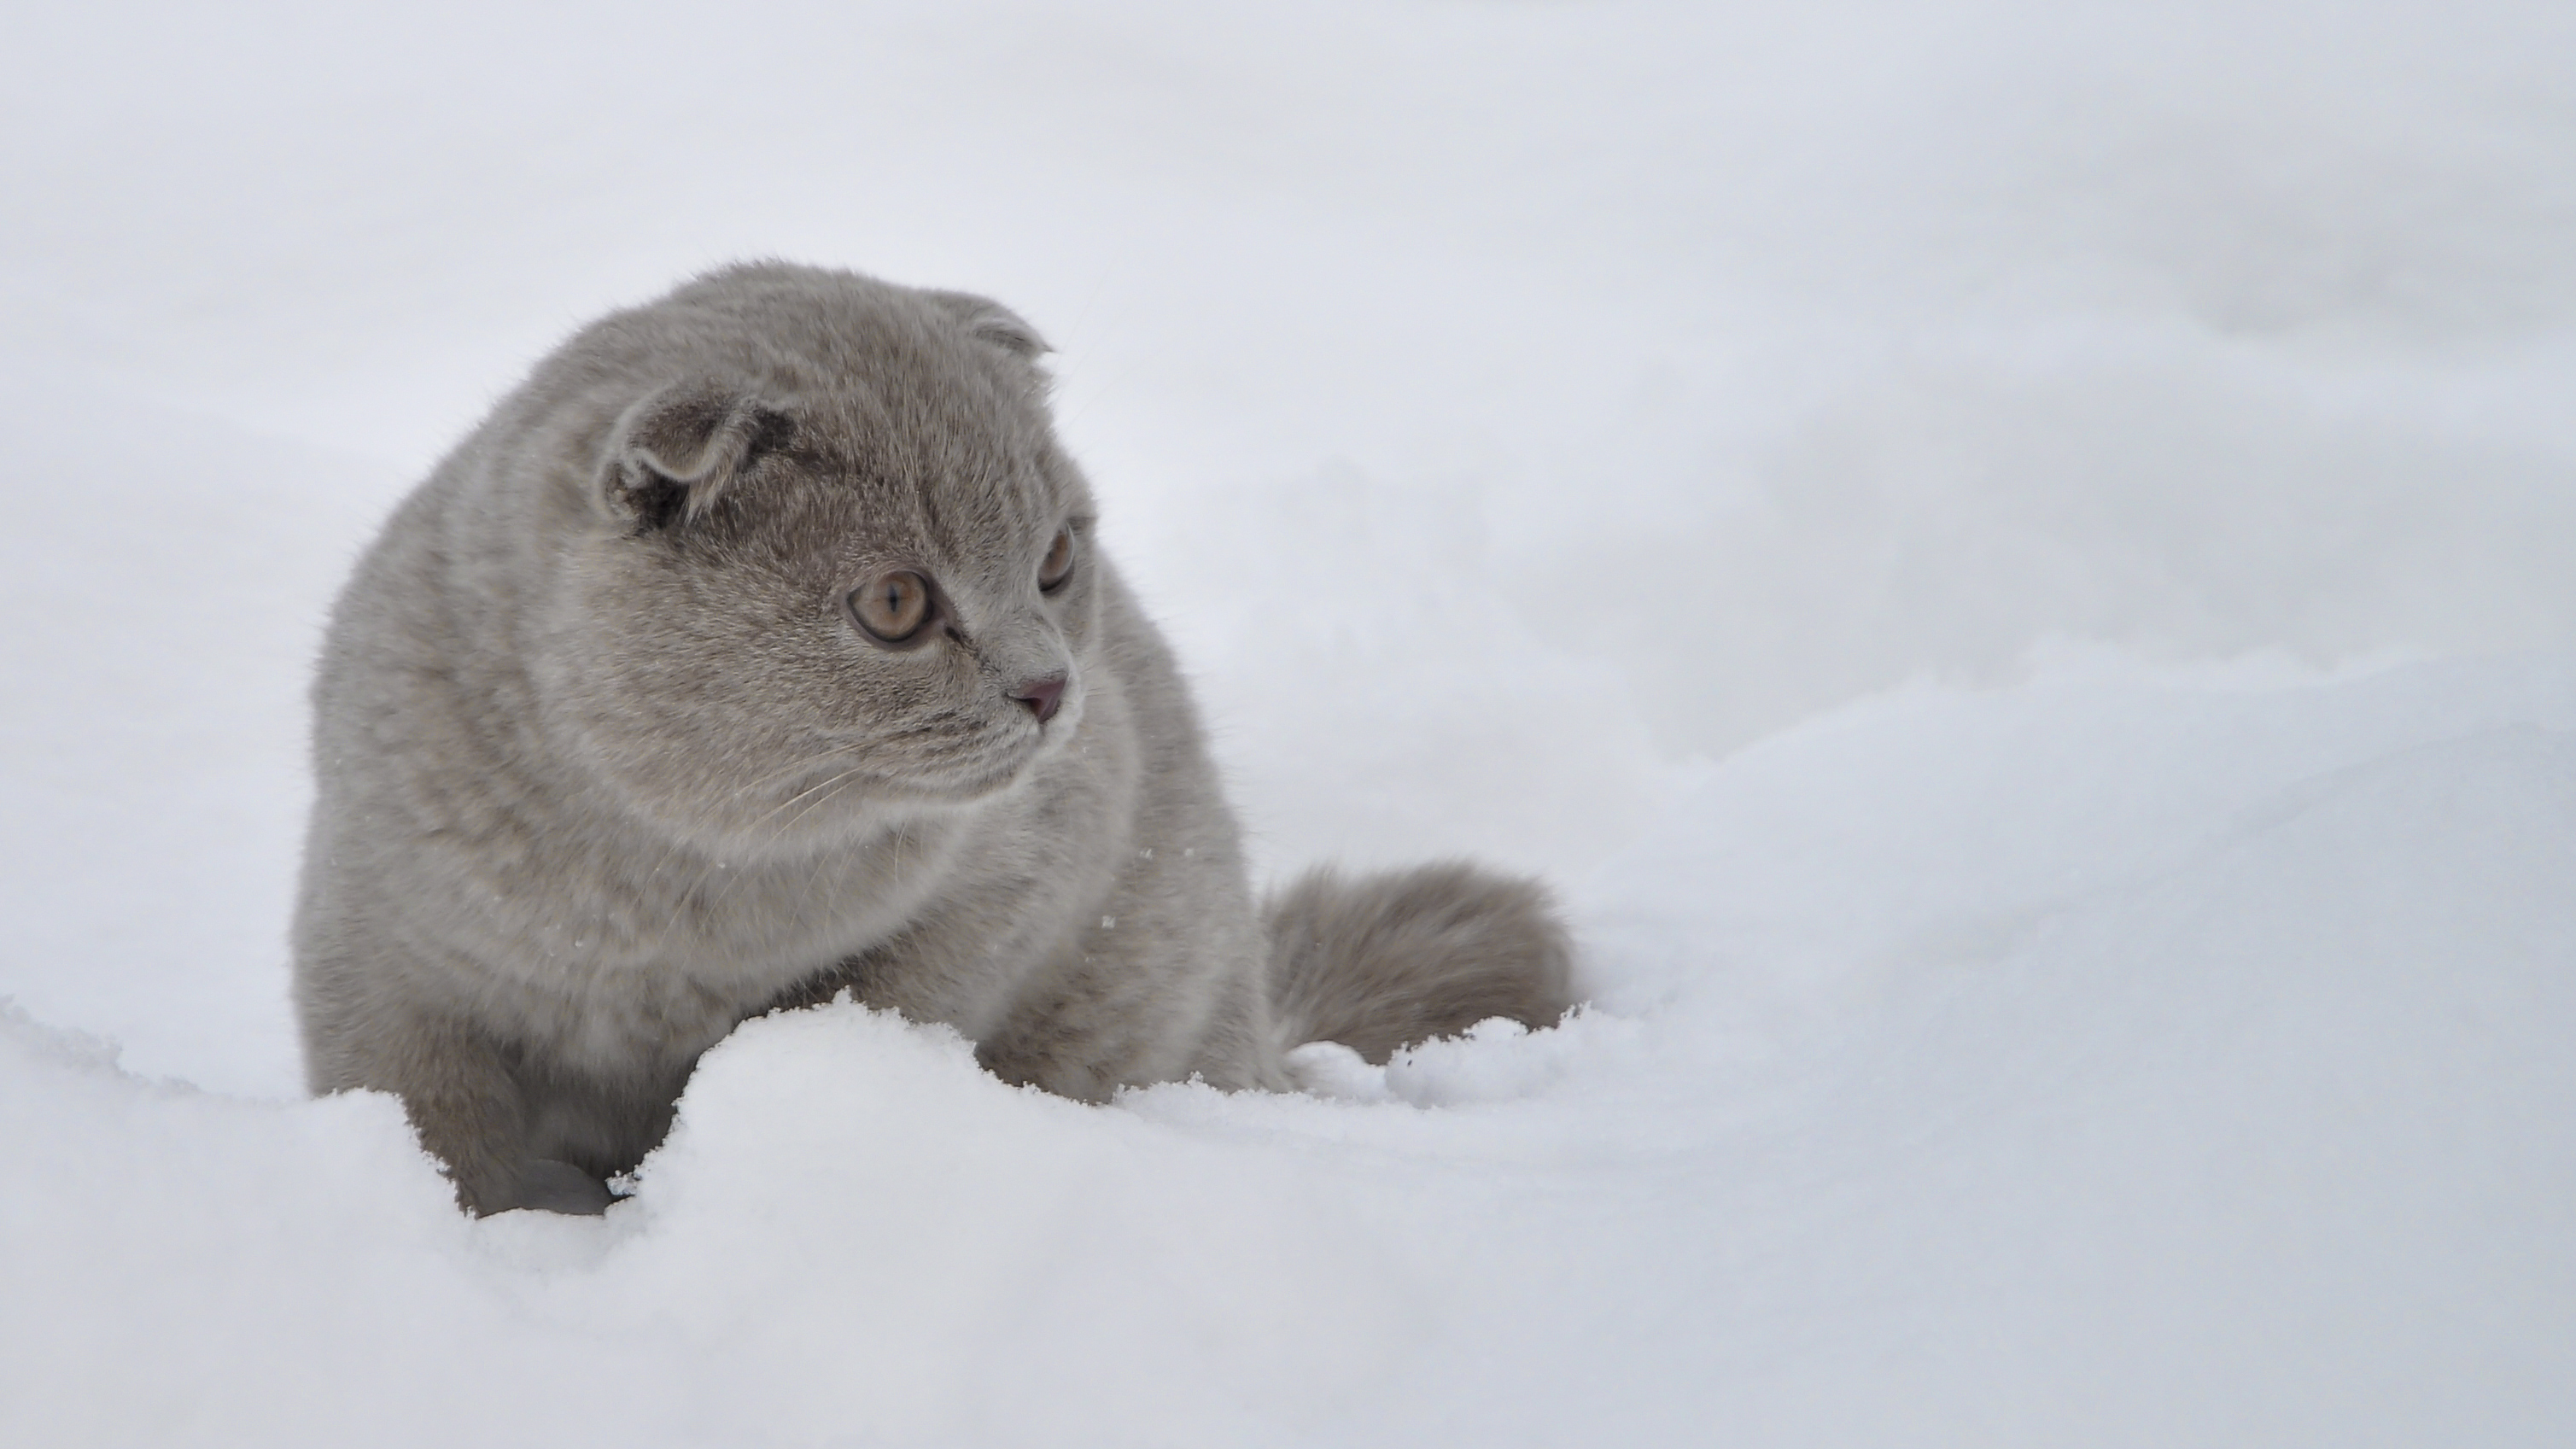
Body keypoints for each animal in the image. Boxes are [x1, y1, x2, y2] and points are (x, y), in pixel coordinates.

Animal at [287, 259, 1566, 1207]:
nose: (1051, 687)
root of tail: (1264, 1027)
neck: (669, 900)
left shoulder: (1019, 870)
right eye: (896, 604)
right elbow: (432, 1121)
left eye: (1056, 558)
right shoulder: (379, 947)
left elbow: (884, 1002)